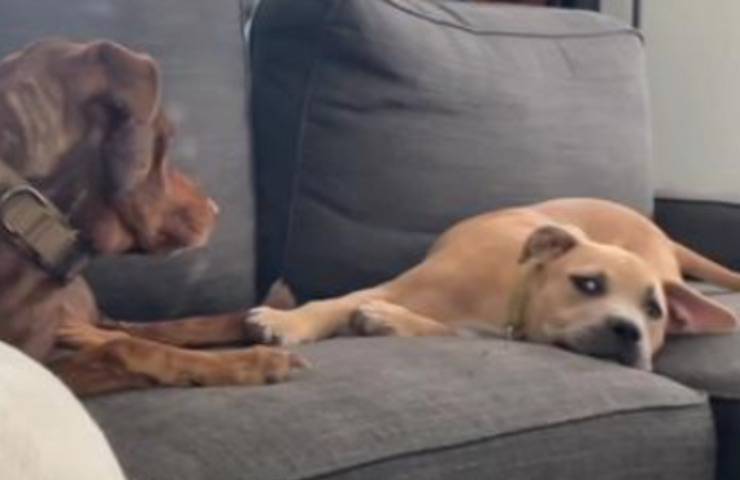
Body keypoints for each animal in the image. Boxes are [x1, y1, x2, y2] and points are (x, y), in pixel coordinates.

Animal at [0, 38, 304, 396]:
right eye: (166, 140)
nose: (216, 208)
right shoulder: (45, 367)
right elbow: (128, 348)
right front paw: (252, 362)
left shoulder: (98, 321)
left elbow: (176, 326)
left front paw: (265, 317)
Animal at [243, 198, 740, 370]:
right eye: (588, 284)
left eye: (653, 312)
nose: (629, 331)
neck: (512, 295)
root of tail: (664, 237)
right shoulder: (394, 286)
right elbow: (330, 303)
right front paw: (284, 321)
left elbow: (440, 328)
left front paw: (388, 322)